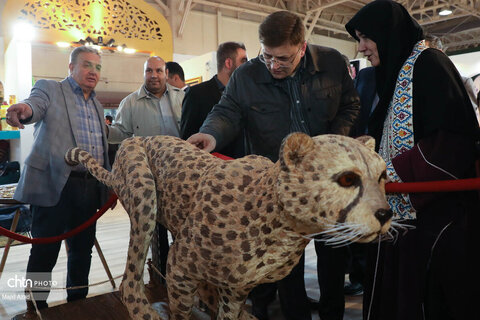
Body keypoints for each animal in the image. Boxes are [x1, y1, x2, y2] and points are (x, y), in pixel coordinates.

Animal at [64, 133, 394, 320]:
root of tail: (141, 136)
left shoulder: (237, 287)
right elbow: (181, 312)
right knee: (128, 282)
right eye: (348, 179)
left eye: (383, 176)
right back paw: (145, 312)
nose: (385, 213)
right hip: (144, 195)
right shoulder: (179, 266)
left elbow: (227, 311)